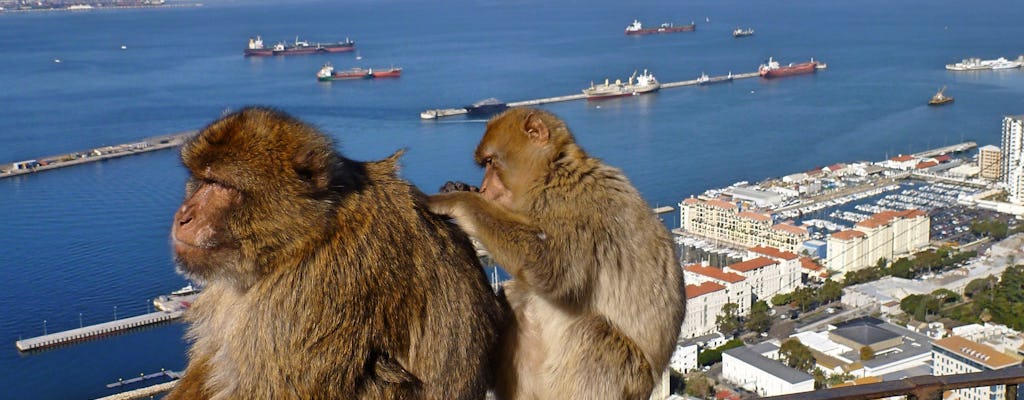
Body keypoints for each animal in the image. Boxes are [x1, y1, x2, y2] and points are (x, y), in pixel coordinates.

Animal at [428, 106, 684, 400]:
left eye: (492, 162)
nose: (483, 188)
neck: (550, 175)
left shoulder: (576, 204)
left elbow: (554, 270)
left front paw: (458, 200)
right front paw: (461, 189)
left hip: (628, 379)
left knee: (593, 333)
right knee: (518, 293)